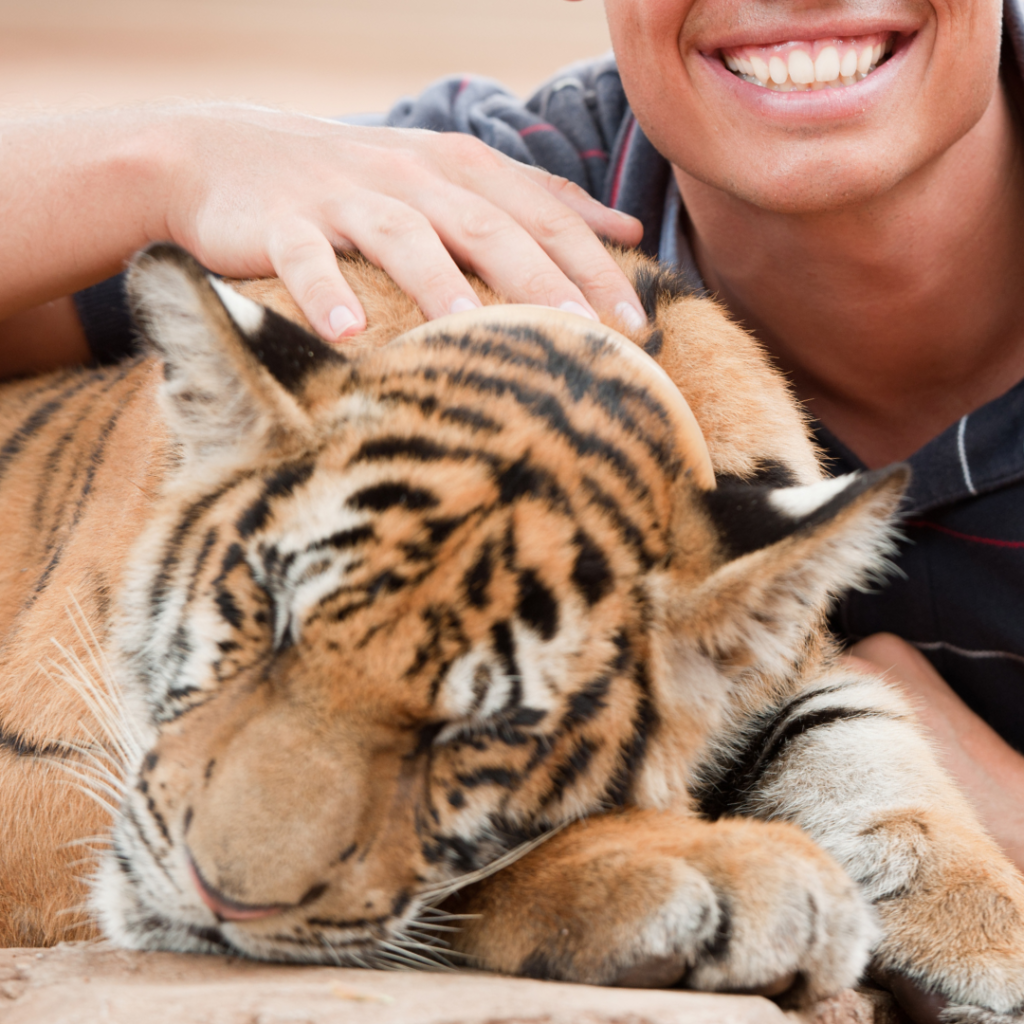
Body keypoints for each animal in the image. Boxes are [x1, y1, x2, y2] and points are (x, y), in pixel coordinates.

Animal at [2, 239, 1024, 1015]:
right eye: (267, 623)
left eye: (485, 730)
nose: (212, 892)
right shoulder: (54, 762)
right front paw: (708, 879)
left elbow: (868, 747)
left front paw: (992, 941)